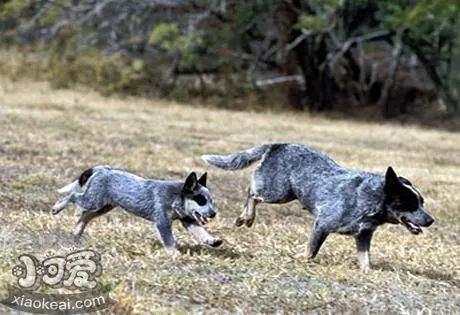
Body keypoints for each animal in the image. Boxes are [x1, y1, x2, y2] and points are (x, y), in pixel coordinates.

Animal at [50, 167, 223, 256]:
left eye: (211, 201)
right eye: (201, 200)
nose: (213, 213)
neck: (175, 198)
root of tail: (103, 169)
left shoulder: (188, 219)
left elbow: (201, 232)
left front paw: (212, 241)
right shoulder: (163, 221)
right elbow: (169, 240)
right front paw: (175, 254)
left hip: (103, 206)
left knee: (84, 216)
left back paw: (76, 233)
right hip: (92, 201)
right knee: (72, 196)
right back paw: (57, 208)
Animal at [202, 144, 434, 272]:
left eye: (422, 202)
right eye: (411, 203)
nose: (431, 220)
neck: (369, 198)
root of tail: (278, 144)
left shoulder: (363, 235)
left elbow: (365, 259)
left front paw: (368, 272)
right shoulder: (322, 224)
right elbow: (310, 251)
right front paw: (297, 257)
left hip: (284, 193)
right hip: (277, 192)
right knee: (252, 192)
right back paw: (247, 217)